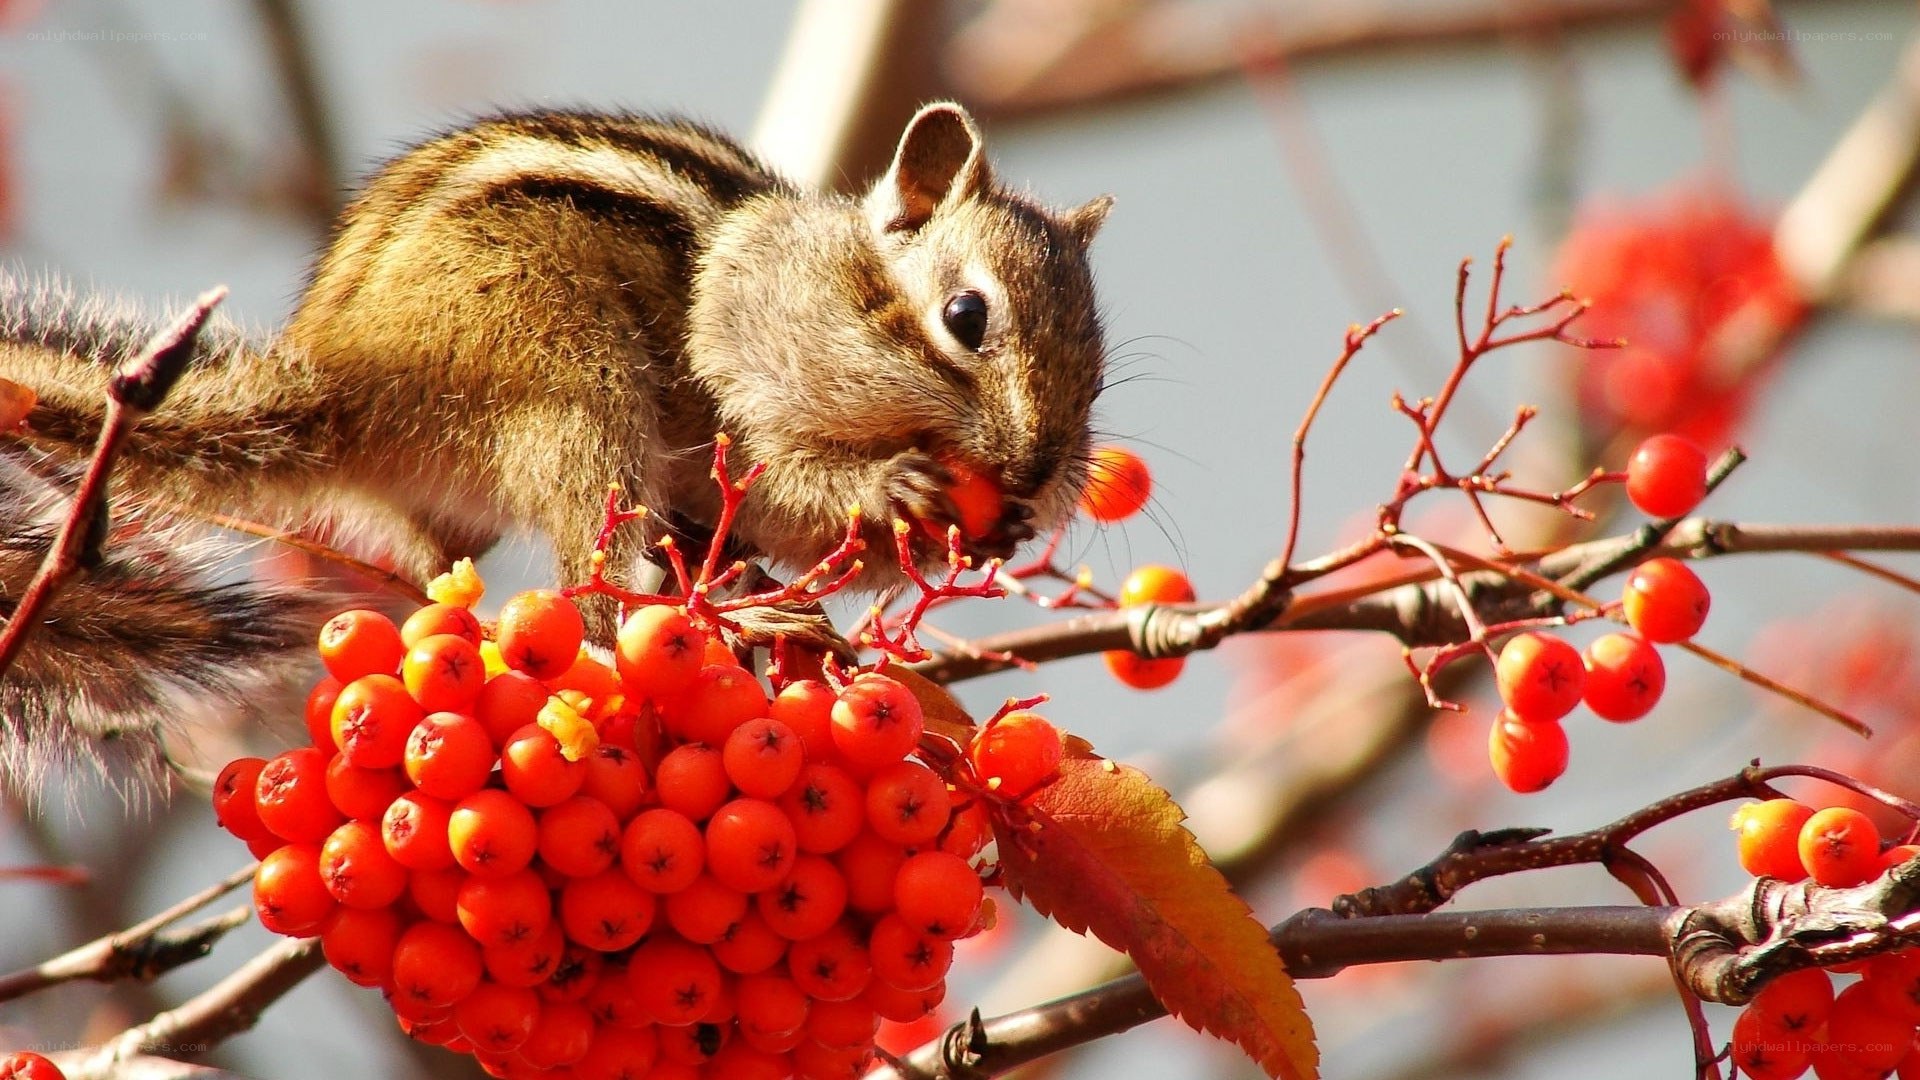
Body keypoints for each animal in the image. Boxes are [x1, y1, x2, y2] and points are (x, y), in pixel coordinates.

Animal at [0, 102, 1113, 792]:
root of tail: (339, 382)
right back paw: (712, 614)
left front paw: (992, 527)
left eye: (1100, 366)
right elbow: (778, 485)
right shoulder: (741, 368)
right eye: (967, 315)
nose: (1033, 472)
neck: (843, 282)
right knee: (594, 598)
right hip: (573, 387)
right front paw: (892, 486)